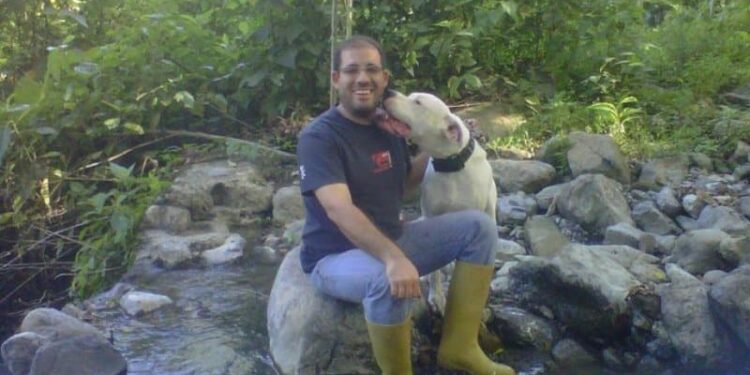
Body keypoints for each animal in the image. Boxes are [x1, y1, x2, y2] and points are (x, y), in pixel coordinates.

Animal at [382, 90, 500, 314]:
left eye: (418, 103)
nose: (388, 92)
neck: (451, 166)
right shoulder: (431, 216)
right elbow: (435, 266)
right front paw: (436, 296)